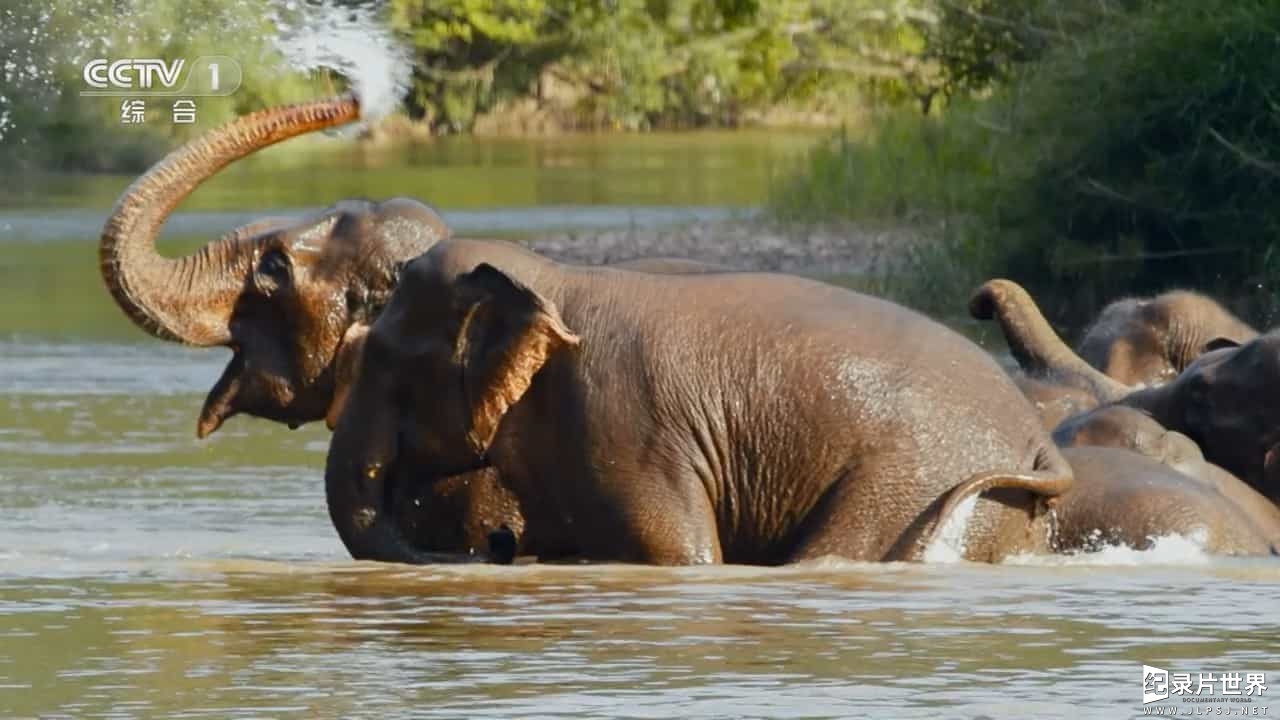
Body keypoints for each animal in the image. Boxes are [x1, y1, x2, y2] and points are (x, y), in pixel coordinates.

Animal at [317, 238, 1070, 563]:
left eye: (383, 361)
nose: (491, 550)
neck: (549, 276)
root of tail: (1042, 441)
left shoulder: (623, 425)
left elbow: (675, 549)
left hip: (911, 480)